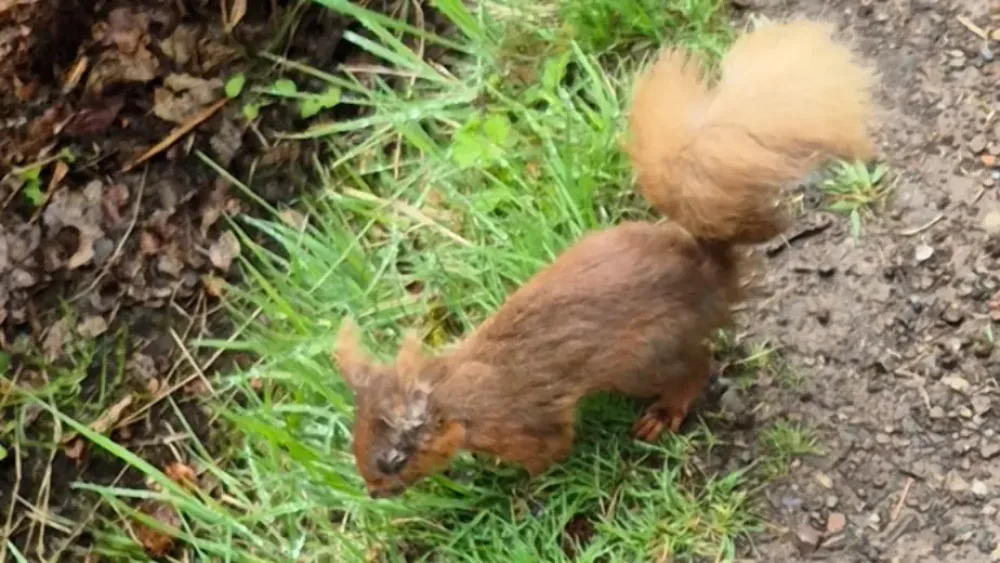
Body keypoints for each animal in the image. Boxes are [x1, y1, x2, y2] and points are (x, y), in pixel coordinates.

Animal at [334, 19, 877, 499]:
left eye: (393, 459)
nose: (374, 493)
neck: (456, 392)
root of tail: (708, 272)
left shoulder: (526, 422)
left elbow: (550, 450)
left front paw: (519, 489)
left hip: (647, 357)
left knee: (696, 367)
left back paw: (664, 413)